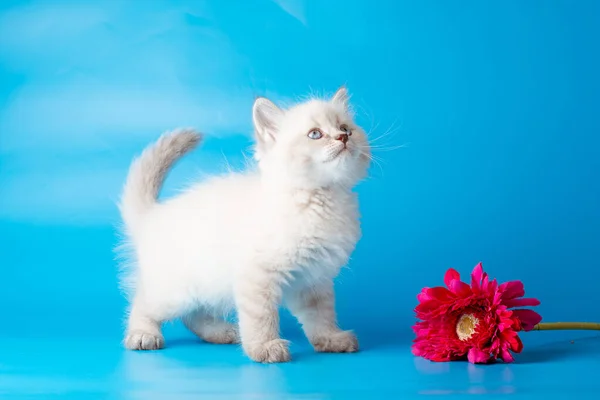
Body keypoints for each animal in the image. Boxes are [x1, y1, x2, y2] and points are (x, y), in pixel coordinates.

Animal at [116, 87, 370, 362]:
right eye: (315, 134)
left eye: (345, 128)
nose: (343, 138)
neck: (321, 199)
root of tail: (152, 214)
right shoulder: (258, 276)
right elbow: (261, 317)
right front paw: (265, 347)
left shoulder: (314, 279)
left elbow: (321, 316)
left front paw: (330, 339)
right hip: (174, 292)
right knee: (143, 304)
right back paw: (142, 334)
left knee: (193, 315)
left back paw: (221, 332)